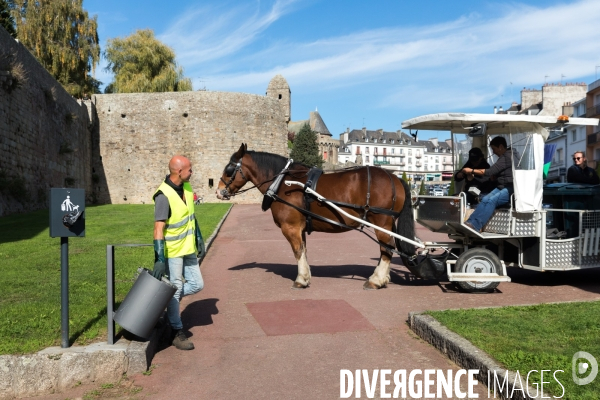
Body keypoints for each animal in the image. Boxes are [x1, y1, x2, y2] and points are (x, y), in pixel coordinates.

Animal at [216, 144, 418, 290]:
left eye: (229, 168)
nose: (218, 191)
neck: (282, 182)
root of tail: (394, 177)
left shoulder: (291, 227)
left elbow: (297, 251)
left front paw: (301, 279)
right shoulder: (300, 228)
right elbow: (304, 251)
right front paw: (306, 275)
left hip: (381, 222)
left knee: (387, 249)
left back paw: (376, 280)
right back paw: (383, 278)